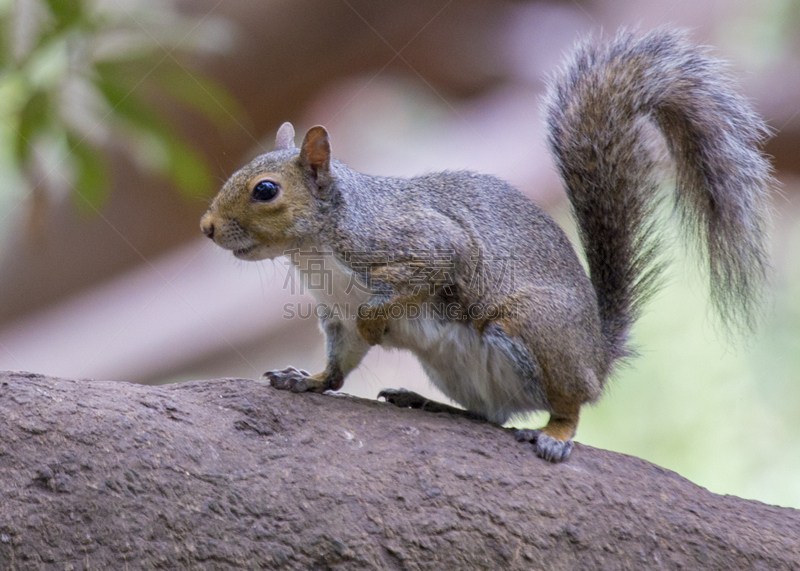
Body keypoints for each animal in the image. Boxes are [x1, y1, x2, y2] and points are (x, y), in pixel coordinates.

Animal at [198, 29, 768, 462]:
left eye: (265, 190)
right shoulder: (334, 314)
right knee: (487, 415)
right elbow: (339, 365)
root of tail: (597, 355)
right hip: (459, 370)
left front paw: (378, 323)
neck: (316, 249)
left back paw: (554, 434)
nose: (206, 227)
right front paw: (307, 379)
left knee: (568, 404)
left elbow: (425, 274)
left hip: (533, 330)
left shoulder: (419, 242)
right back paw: (428, 404)